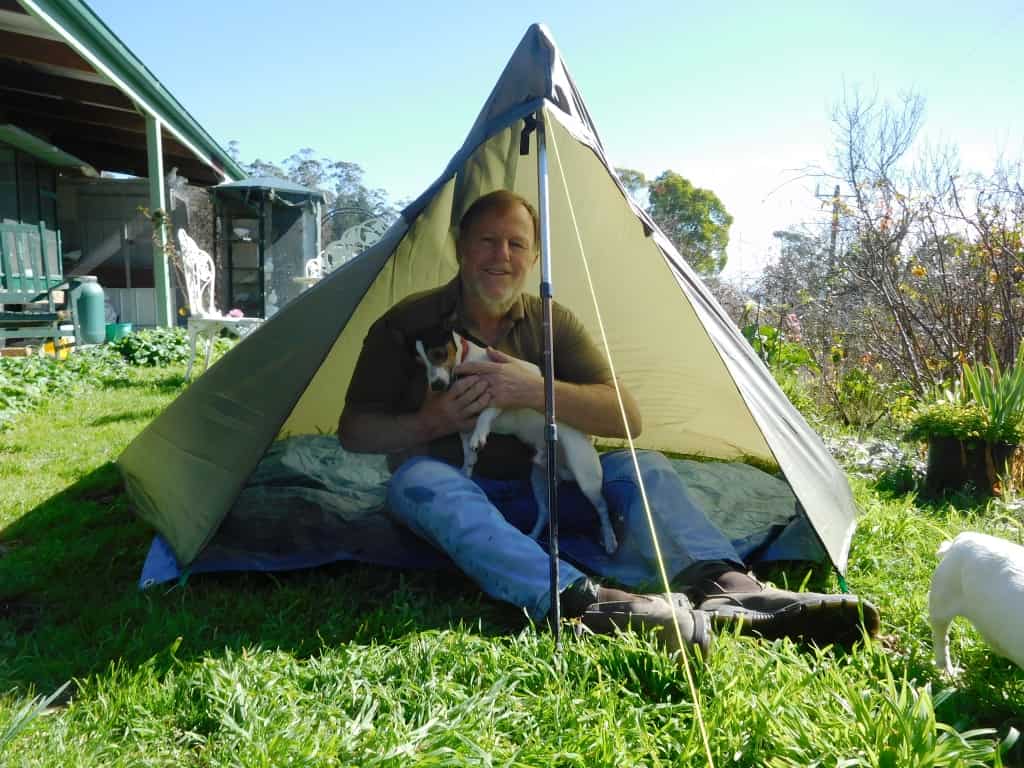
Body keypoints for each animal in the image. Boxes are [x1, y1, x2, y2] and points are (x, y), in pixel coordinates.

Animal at [413, 329, 618, 552]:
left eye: (439, 354)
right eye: (420, 363)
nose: (436, 386)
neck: (466, 361)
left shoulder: (501, 388)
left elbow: (486, 413)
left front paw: (480, 435)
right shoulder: (464, 423)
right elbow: (468, 453)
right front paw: (466, 469)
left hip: (586, 478)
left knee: (603, 507)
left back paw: (609, 539)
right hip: (539, 480)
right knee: (545, 512)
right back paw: (533, 536)